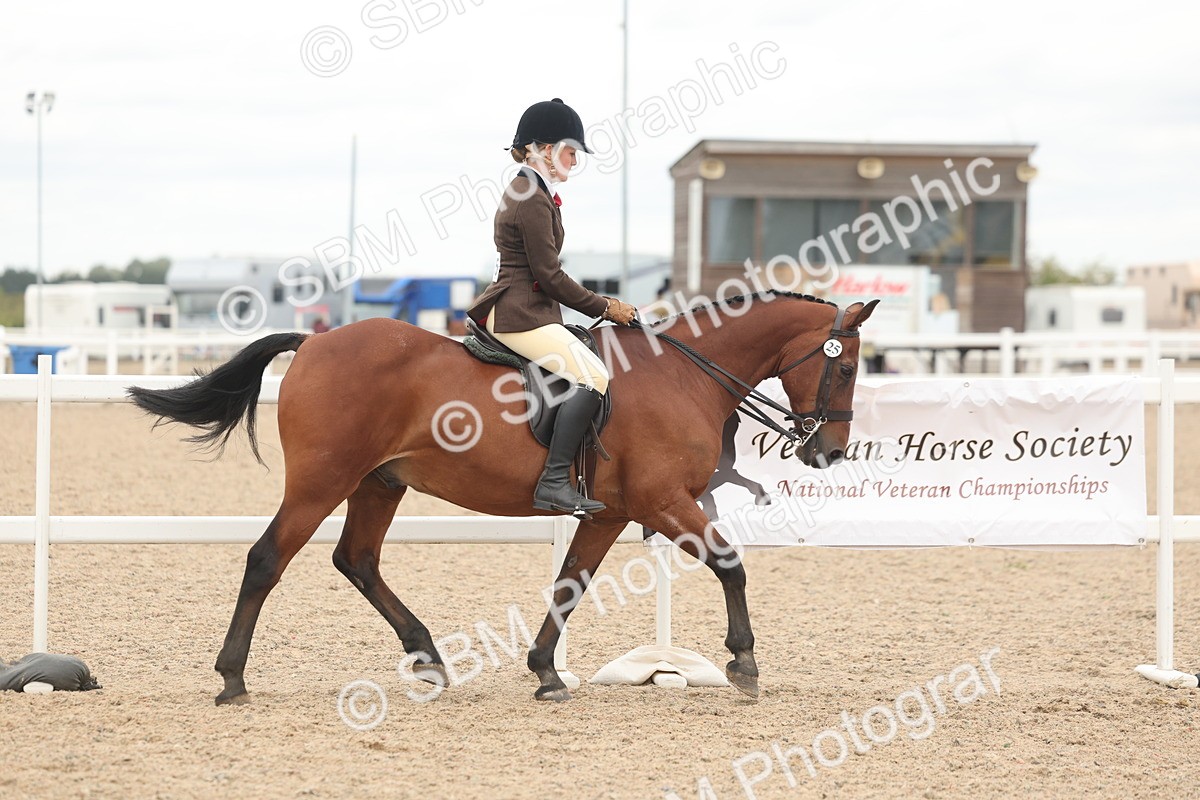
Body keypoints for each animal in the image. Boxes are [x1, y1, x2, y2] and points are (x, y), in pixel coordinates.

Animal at [128, 290, 878, 705]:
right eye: (844, 367)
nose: (829, 451)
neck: (682, 375)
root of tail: (314, 341)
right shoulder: (663, 501)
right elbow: (730, 563)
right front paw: (743, 661)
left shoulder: (613, 512)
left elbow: (571, 583)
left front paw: (546, 671)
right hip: (322, 481)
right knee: (267, 559)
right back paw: (232, 678)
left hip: (379, 481)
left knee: (358, 560)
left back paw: (428, 656)